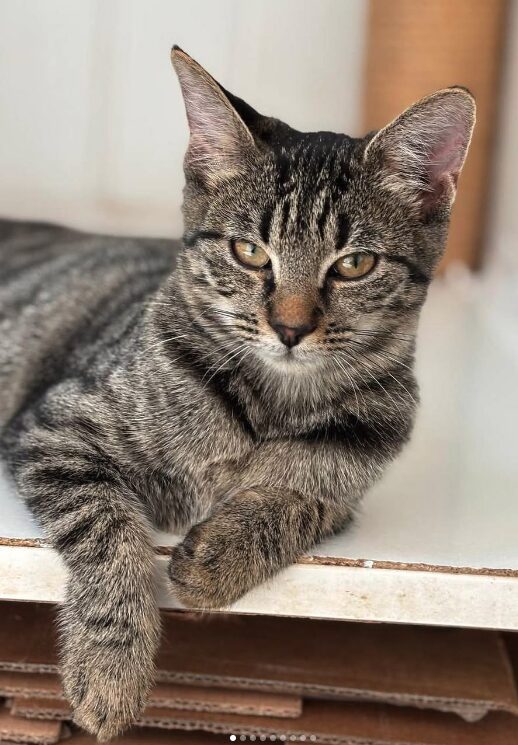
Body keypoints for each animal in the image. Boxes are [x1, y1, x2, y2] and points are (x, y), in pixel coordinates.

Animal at [0, 46, 478, 740]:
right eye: (251, 252)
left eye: (354, 264)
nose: (291, 328)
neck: (272, 402)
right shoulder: (54, 427)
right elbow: (110, 529)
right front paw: (110, 666)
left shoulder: (350, 490)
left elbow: (300, 497)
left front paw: (221, 555)